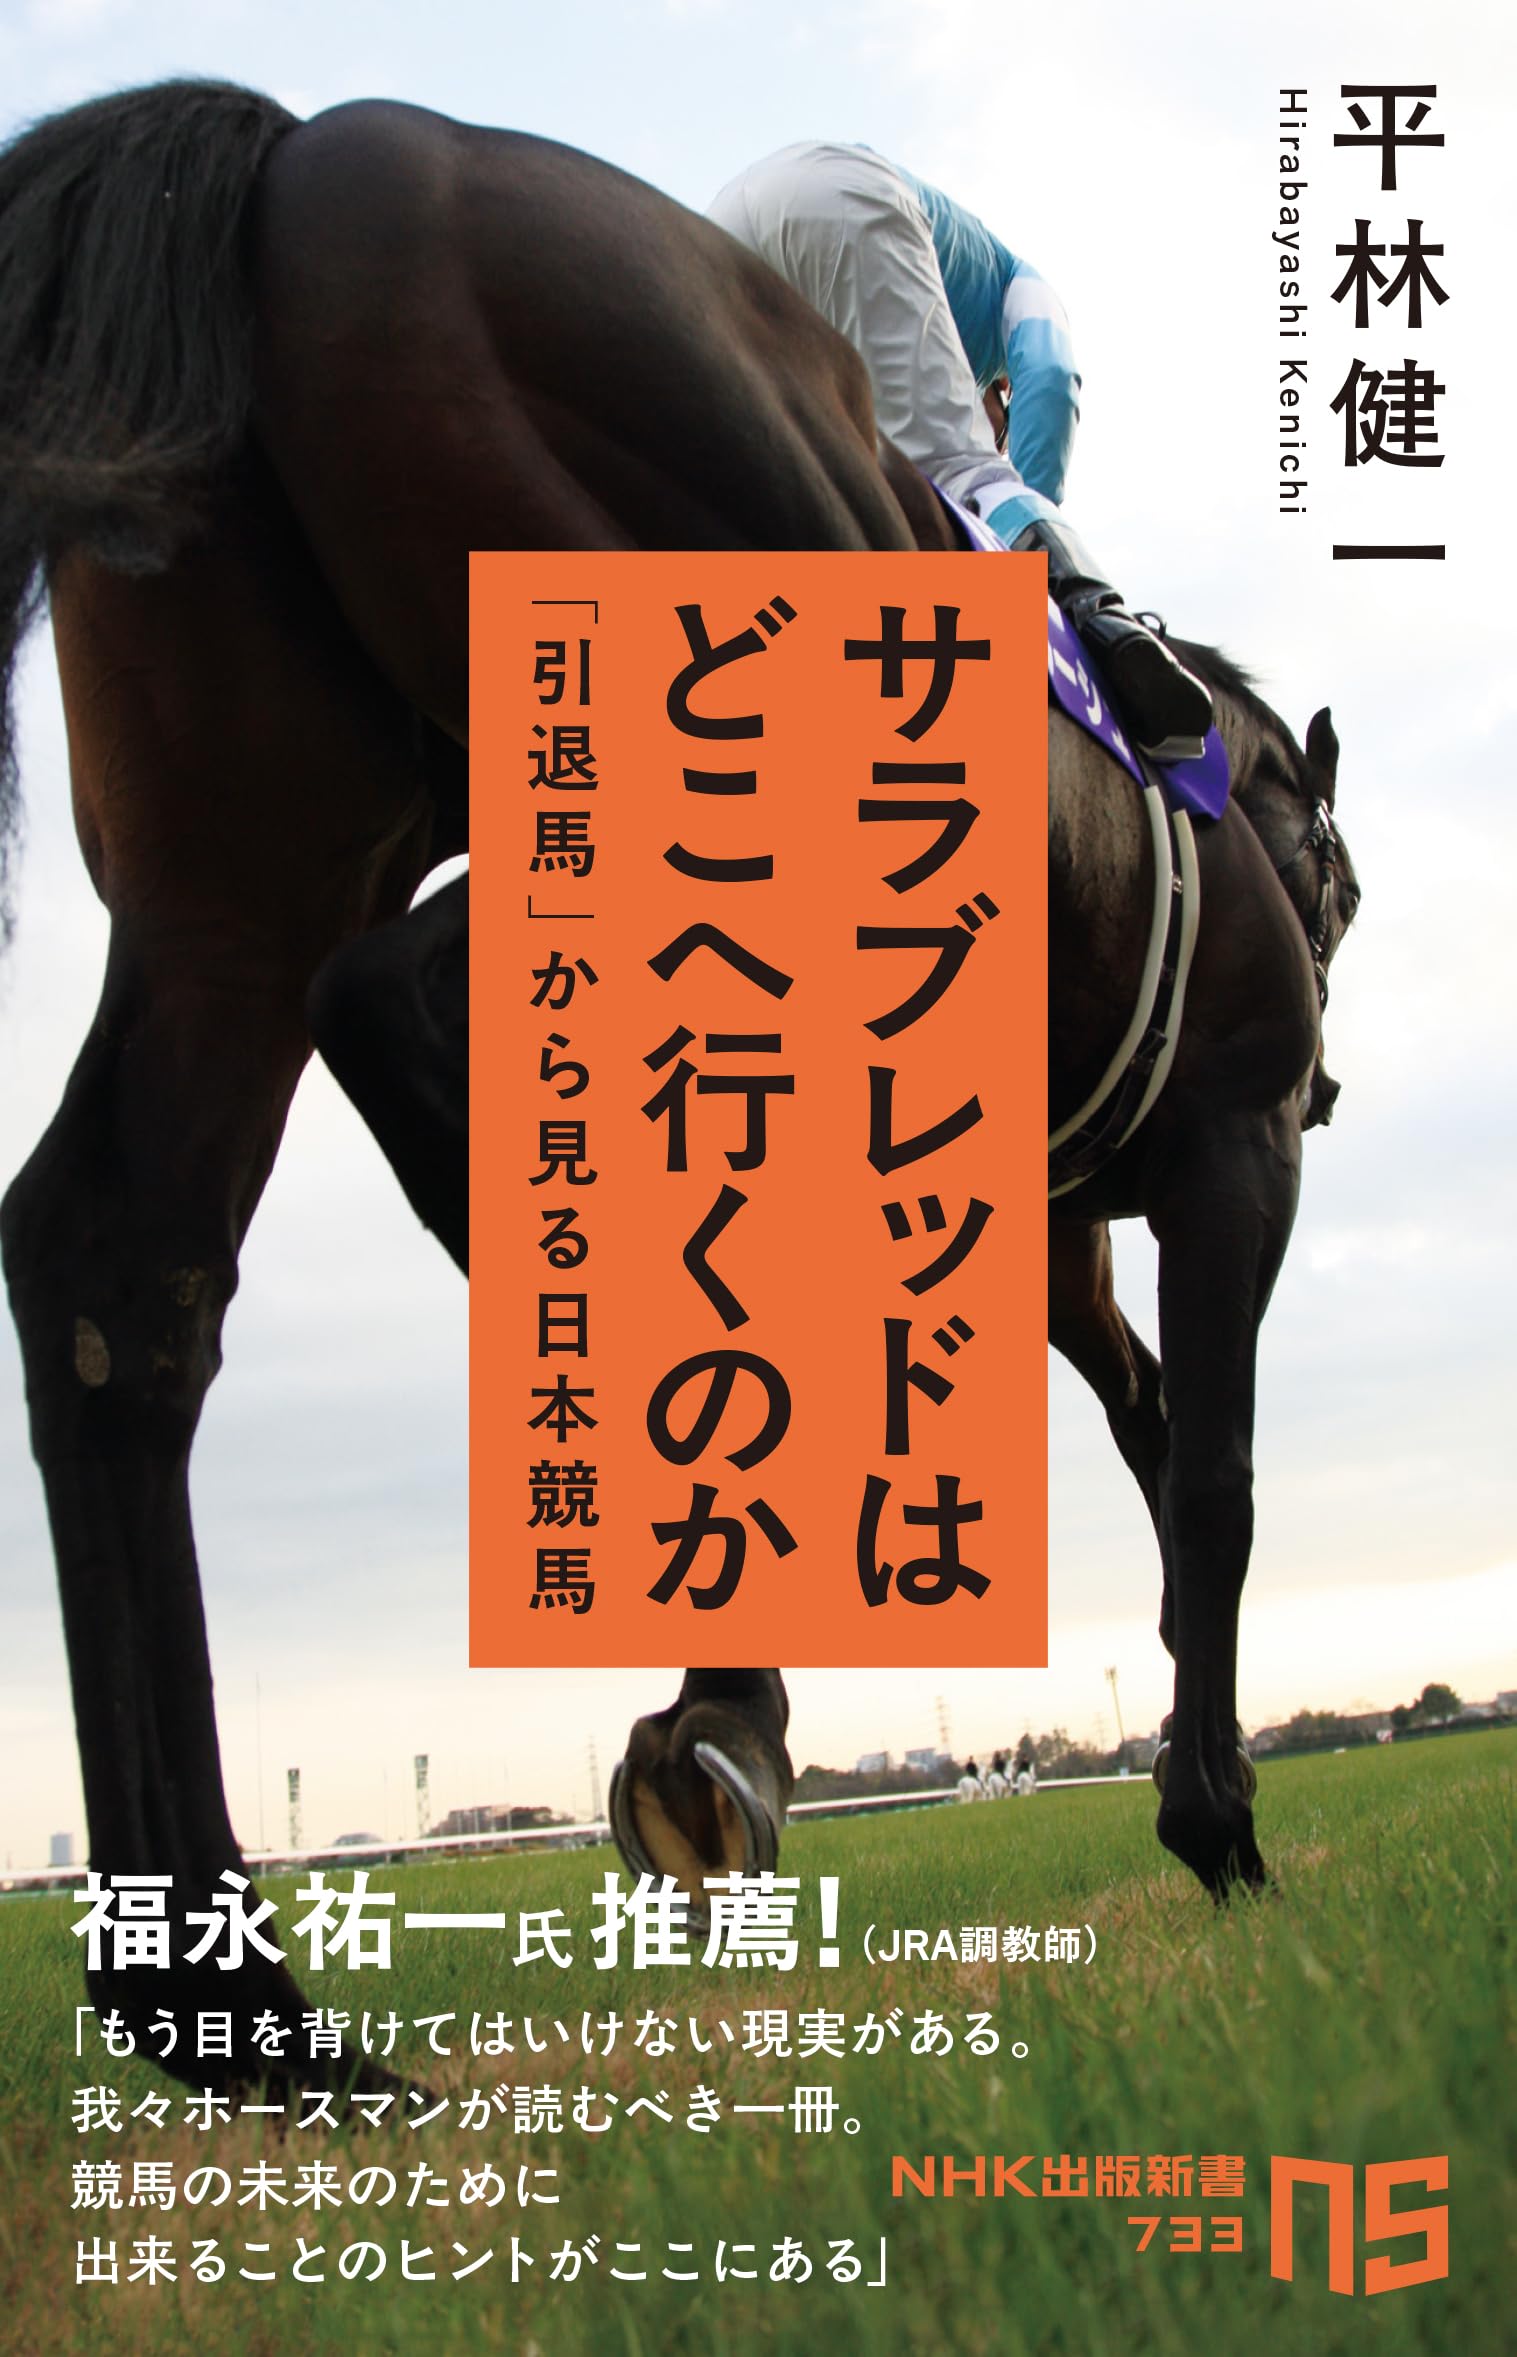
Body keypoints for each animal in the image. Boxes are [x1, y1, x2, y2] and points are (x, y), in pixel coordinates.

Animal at [0, 81, 1356, 2090]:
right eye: (1336, 887)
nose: (1338, 1077)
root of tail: (319, 142)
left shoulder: (1038, 1223)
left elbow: (1147, 1420)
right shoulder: (1226, 1142)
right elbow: (1217, 1477)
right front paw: (1219, 1820)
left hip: (239, 874)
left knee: (126, 1266)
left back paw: (241, 2007)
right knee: (396, 998)